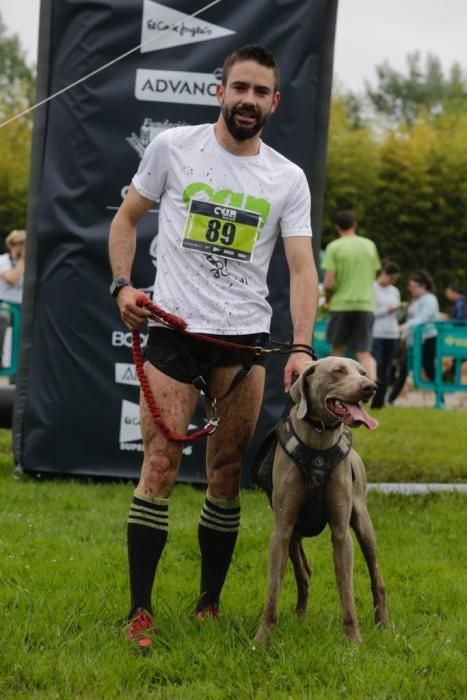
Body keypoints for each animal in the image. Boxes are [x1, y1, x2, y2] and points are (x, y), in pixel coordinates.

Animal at [254, 358, 390, 648]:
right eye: (337, 371)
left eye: (363, 372)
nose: (370, 387)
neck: (319, 440)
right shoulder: (282, 531)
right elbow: (273, 589)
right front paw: (262, 639)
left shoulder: (341, 534)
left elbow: (347, 591)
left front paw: (354, 641)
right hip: (293, 537)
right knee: (302, 574)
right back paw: (299, 615)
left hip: (363, 524)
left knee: (376, 577)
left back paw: (383, 624)